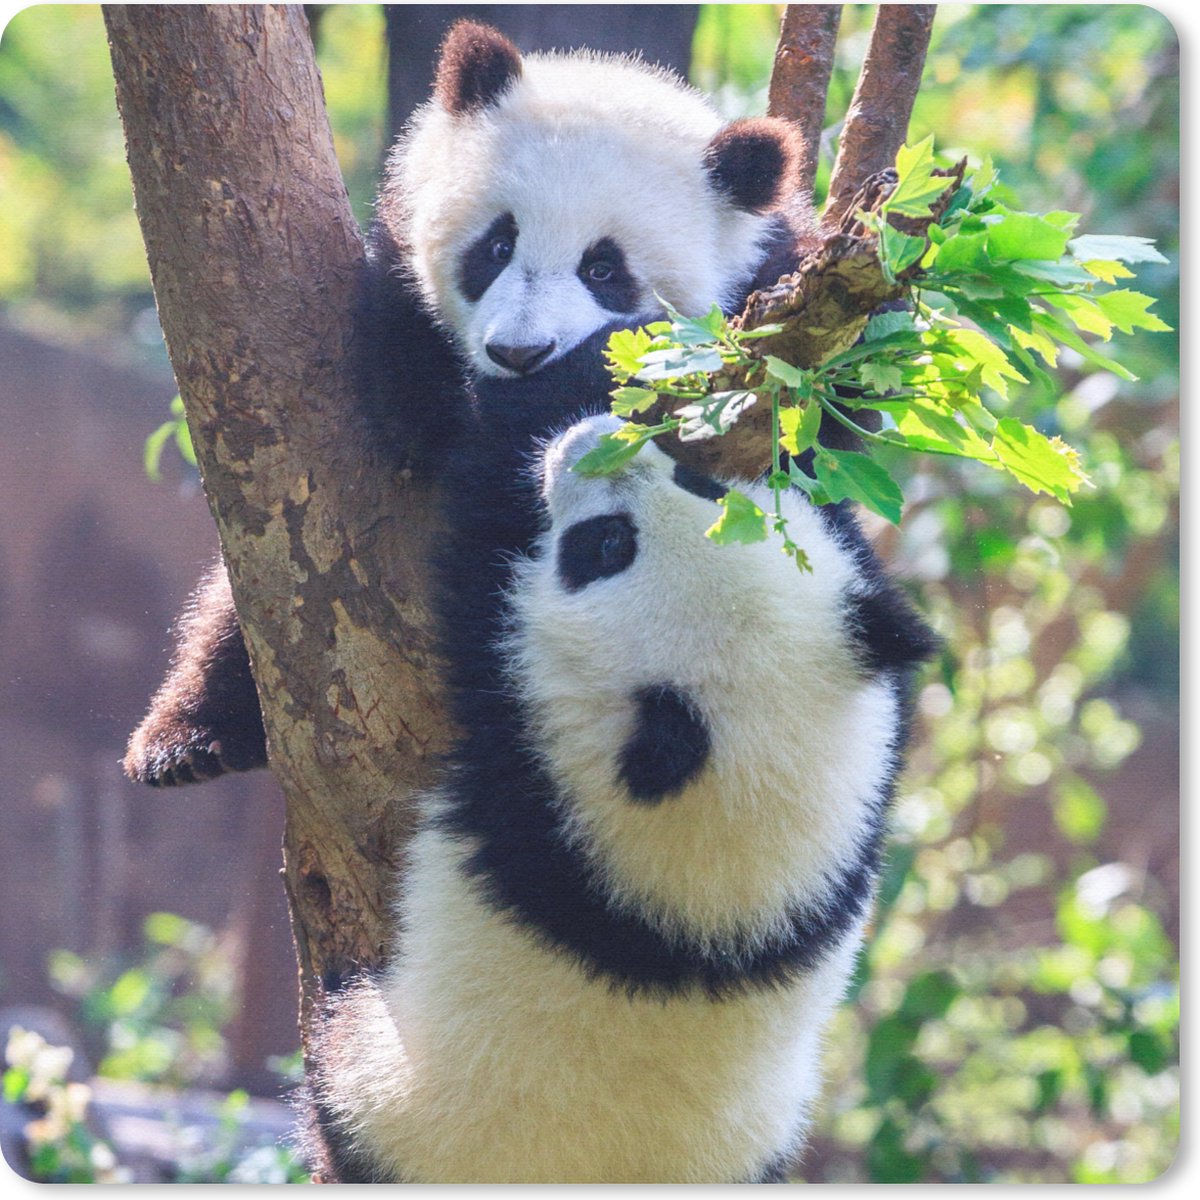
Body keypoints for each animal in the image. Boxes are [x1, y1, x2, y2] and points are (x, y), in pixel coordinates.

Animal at [123, 20, 818, 788]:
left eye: (605, 269)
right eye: (496, 245)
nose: (519, 353)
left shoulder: (777, 314)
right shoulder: (399, 301)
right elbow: (420, 421)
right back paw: (187, 739)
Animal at [302, 399, 937, 1184]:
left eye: (606, 546)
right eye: (708, 488)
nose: (593, 440)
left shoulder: (533, 757)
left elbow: (473, 547)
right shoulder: (868, 802)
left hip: (405, 1107)